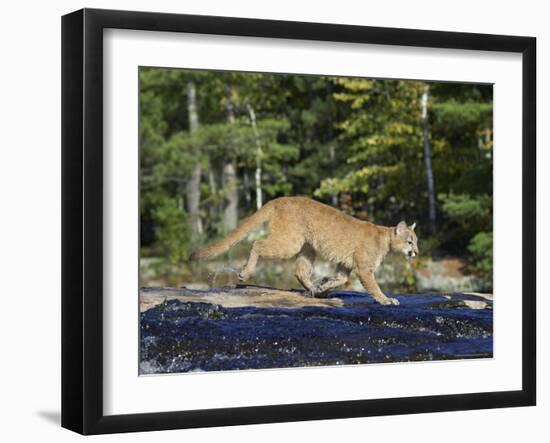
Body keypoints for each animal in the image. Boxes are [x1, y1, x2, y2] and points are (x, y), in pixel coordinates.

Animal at [190, 198, 418, 306]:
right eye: (410, 242)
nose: (416, 252)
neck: (384, 237)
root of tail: (277, 199)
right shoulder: (364, 268)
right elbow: (374, 287)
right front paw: (386, 300)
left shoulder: (346, 265)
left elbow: (341, 278)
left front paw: (325, 285)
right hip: (290, 242)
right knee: (257, 243)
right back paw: (245, 272)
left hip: (308, 247)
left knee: (299, 270)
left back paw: (315, 290)